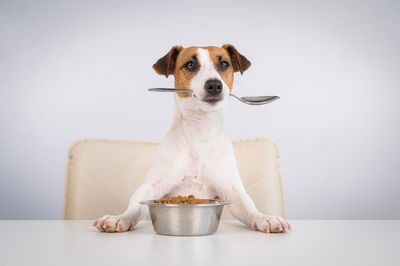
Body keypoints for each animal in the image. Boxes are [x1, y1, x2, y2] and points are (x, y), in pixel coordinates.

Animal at [94, 44, 290, 233]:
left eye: (224, 64)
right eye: (190, 64)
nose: (214, 85)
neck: (199, 131)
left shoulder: (232, 191)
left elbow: (249, 207)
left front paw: (265, 218)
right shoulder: (152, 186)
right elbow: (136, 204)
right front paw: (120, 218)